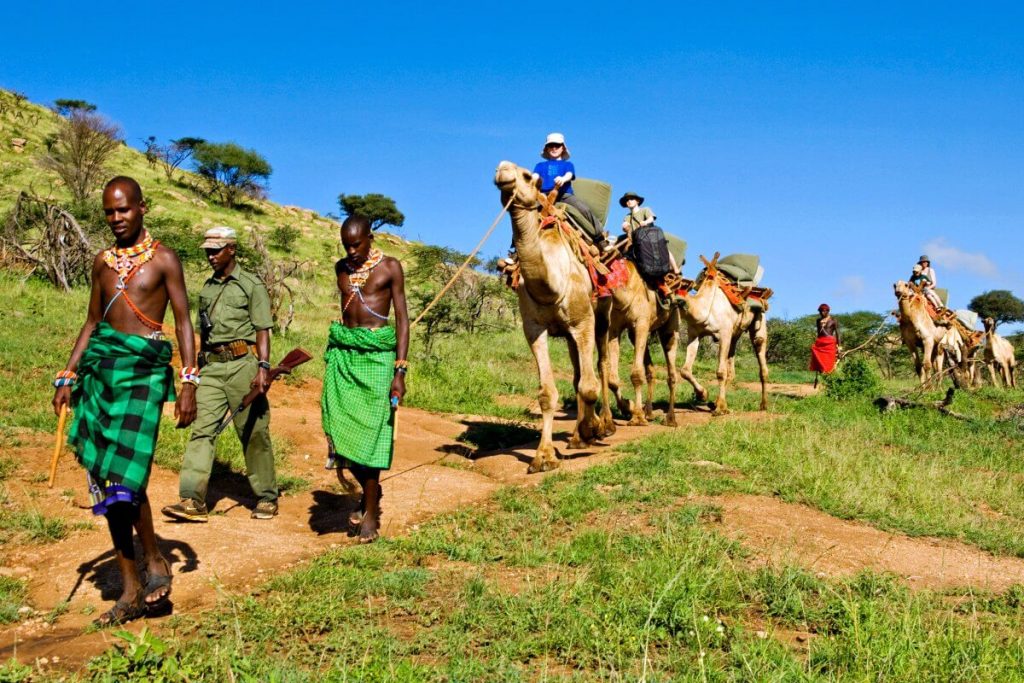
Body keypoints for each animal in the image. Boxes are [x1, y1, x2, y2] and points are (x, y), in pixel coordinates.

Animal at [493, 161, 612, 473]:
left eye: (526, 175)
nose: (502, 170)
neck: (551, 283)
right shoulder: (534, 328)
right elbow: (548, 393)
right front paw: (544, 457)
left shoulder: (583, 322)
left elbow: (589, 385)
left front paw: (589, 431)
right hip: (570, 334)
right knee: (578, 372)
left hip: (603, 317)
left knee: (601, 367)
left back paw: (604, 426)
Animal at [604, 261, 682, 426]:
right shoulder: (614, 328)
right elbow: (612, 380)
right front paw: (629, 407)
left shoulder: (641, 322)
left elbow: (636, 374)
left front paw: (637, 417)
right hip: (635, 334)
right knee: (651, 369)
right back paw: (649, 412)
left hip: (670, 327)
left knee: (672, 373)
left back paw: (670, 419)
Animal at [677, 254, 769, 415]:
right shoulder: (694, 334)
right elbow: (685, 370)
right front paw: (704, 395)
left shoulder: (724, 334)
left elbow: (720, 372)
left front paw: (720, 409)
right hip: (735, 334)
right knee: (731, 368)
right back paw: (717, 402)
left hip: (759, 321)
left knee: (760, 353)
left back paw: (763, 405)